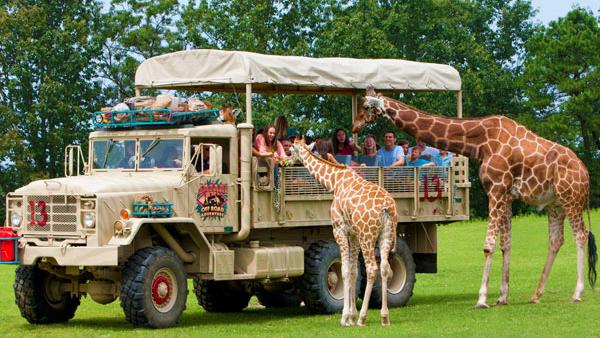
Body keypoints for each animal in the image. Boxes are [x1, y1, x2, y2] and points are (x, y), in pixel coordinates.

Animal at [290, 138, 398, 328]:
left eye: (290, 149)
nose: (284, 161)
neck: (335, 182)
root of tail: (387, 209)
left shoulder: (339, 229)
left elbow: (345, 270)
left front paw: (345, 317)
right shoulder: (353, 234)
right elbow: (353, 271)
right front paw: (351, 317)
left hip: (367, 236)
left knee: (372, 268)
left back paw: (363, 317)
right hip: (385, 236)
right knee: (385, 268)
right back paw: (384, 317)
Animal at [352, 88, 596, 308]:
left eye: (365, 107)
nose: (355, 126)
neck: (480, 143)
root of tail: (585, 171)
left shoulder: (496, 189)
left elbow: (489, 246)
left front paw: (481, 299)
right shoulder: (506, 195)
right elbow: (506, 244)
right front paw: (502, 297)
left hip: (571, 199)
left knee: (581, 235)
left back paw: (577, 293)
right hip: (555, 204)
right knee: (556, 240)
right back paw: (536, 295)